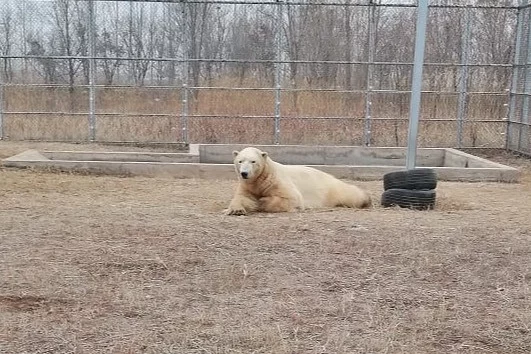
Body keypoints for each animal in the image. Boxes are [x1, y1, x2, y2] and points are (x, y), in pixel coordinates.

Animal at [227, 147, 372, 216]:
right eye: (240, 161)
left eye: (253, 161)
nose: (244, 173)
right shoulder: (247, 186)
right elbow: (241, 197)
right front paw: (236, 210)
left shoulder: (277, 181)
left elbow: (292, 198)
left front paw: (261, 201)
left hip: (330, 188)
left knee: (349, 194)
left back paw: (366, 200)